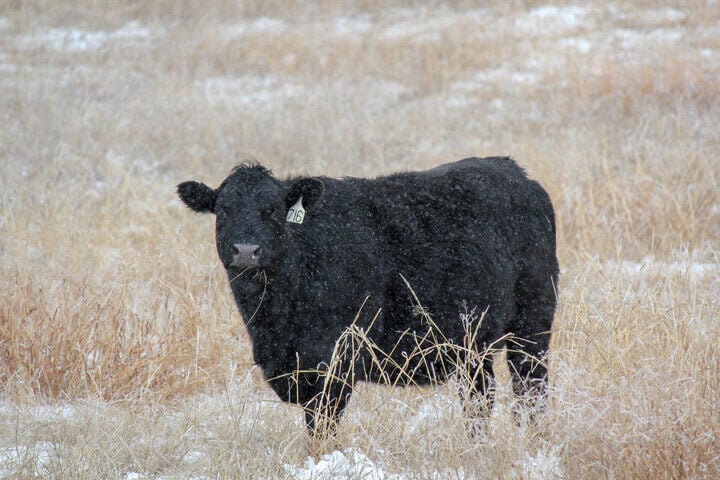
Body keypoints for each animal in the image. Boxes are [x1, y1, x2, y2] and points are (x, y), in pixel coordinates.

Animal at [177, 157, 559, 437]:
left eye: (272, 211)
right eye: (223, 211)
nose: (246, 250)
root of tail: (514, 171)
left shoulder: (334, 363)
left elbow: (322, 430)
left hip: (533, 325)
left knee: (530, 391)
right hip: (474, 343)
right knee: (480, 396)